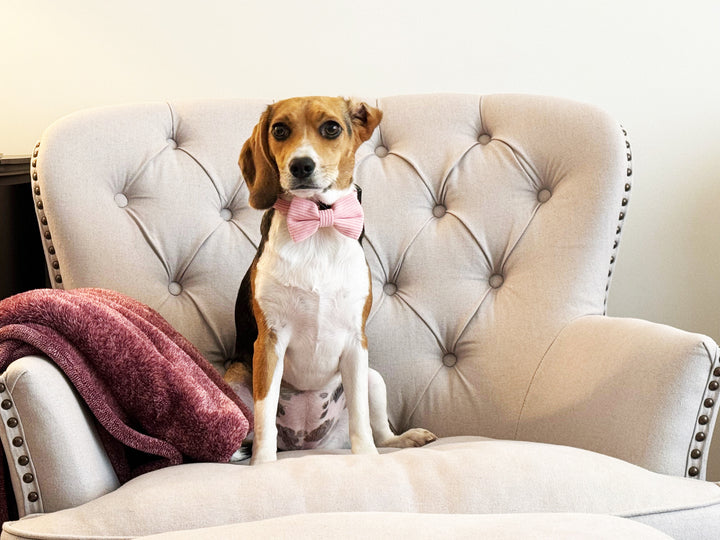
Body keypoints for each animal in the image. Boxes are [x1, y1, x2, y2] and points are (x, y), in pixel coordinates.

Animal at [225, 97, 438, 464]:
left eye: (331, 128)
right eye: (279, 130)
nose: (301, 165)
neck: (318, 223)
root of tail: (303, 443)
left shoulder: (355, 342)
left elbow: (360, 418)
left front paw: (366, 456)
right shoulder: (268, 342)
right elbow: (264, 415)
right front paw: (263, 465)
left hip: (373, 377)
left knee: (381, 429)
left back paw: (404, 438)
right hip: (234, 377)